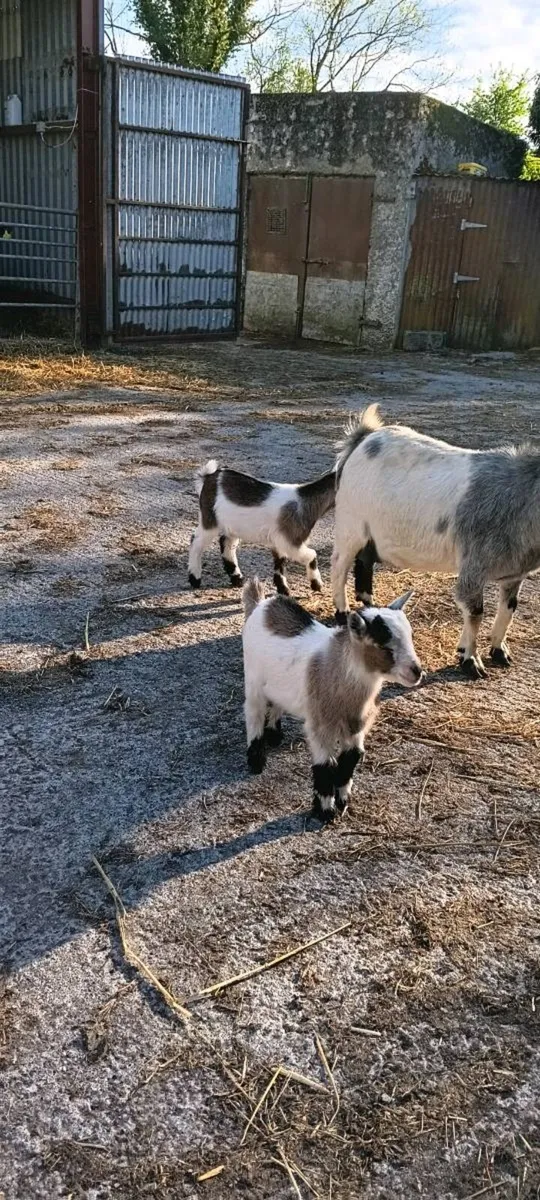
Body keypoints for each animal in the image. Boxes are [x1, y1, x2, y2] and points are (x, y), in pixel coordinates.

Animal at [188, 460, 336, 596]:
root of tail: (209, 476)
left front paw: (282, 588)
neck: (305, 501)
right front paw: (316, 584)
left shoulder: (280, 540)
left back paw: (237, 578)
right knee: (196, 542)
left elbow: (280, 562)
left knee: (227, 544)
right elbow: (311, 555)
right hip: (209, 519)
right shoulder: (291, 541)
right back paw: (195, 578)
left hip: (232, 526)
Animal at [242, 578, 422, 823]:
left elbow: (350, 760)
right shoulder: (321, 726)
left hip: (277, 684)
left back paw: (274, 734)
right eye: (384, 646)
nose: (417, 672)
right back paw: (256, 759)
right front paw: (325, 812)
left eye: (410, 636)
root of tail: (261, 604)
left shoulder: (356, 726)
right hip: (253, 680)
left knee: (277, 701)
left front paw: (343, 801)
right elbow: (325, 766)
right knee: (254, 712)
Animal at [332, 404, 540, 680]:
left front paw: (499, 652)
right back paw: (342, 611)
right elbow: (475, 612)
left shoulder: (514, 572)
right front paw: (470, 661)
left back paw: (371, 605)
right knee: (339, 565)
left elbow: (508, 610)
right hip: (351, 524)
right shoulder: (474, 567)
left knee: (364, 562)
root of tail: (366, 437)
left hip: (370, 534)